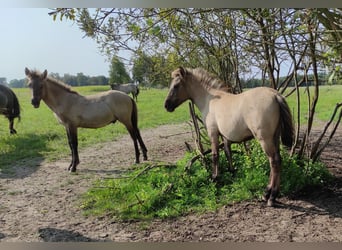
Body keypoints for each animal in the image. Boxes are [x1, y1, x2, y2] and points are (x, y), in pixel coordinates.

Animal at [164, 67, 294, 207]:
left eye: (176, 86)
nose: (166, 105)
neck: (209, 99)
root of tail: (274, 94)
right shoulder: (225, 136)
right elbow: (228, 153)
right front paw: (232, 173)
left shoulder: (213, 132)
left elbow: (215, 155)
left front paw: (215, 178)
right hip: (275, 137)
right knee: (277, 160)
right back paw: (267, 194)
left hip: (265, 139)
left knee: (274, 162)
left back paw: (271, 197)